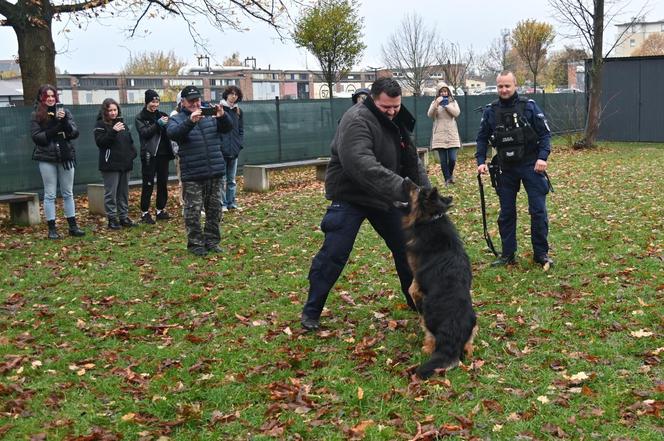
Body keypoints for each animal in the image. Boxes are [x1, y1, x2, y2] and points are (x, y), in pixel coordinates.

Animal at [400, 180, 478, 378]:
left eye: (418, 189)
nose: (405, 178)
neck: (432, 218)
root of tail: (452, 331)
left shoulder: (417, 279)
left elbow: (411, 289)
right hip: (474, 324)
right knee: (468, 347)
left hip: (429, 317)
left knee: (430, 338)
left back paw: (426, 347)